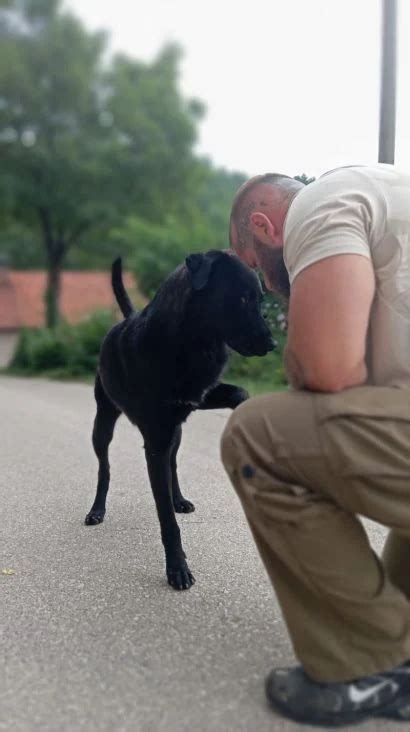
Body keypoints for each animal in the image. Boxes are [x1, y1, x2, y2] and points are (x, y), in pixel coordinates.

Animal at [85, 252, 274, 588]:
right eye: (241, 297)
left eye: (259, 298)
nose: (272, 344)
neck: (188, 341)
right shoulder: (155, 442)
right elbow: (166, 520)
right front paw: (177, 569)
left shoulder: (199, 398)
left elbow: (241, 392)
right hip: (103, 423)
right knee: (104, 468)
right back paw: (97, 509)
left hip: (176, 432)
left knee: (172, 464)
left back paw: (179, 499)